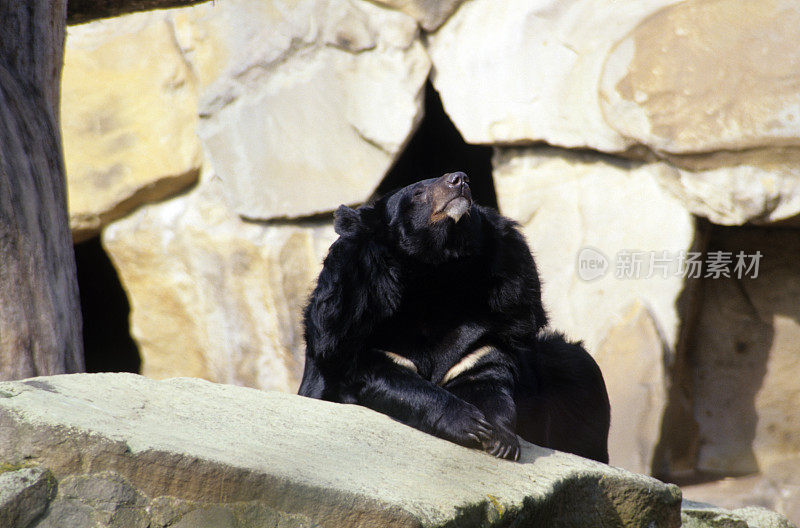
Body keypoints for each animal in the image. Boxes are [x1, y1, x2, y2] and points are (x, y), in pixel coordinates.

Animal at [296, 173, 608, 462]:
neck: (436, 277)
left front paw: (499, 439)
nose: (460, 179)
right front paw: (468, 423)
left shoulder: (491, 328)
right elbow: (387, 377)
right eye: (418, 192)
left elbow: (488, 383)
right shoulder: (352, 318)